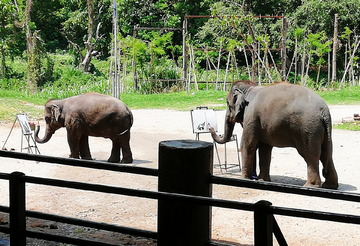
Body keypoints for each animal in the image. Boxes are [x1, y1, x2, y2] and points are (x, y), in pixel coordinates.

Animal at [210, 80, 338, 188]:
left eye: (227, 103)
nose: (211, 127)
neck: (250, 87)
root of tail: (324, 110)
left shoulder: (251, 116)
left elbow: (248, 145)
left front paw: (244, 179)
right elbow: (265, 148)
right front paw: (263, 180)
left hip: (308, 129)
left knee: (311, 155)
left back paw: (310, 186)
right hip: (323, 130)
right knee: (327, 152)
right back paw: (330, 186)